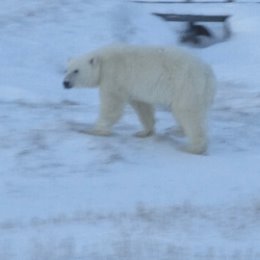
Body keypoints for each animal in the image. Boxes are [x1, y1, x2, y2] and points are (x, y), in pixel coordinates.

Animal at [63, 44, 215, 154]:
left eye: (76, 70)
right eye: (67, 69)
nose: (65, 83)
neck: (104, 61)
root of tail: (208, 73)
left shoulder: (114, 76)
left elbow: (111, 106)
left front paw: (93, 130)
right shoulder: (132, 86)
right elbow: (142, 106)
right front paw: (144, 132)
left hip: (185, 85)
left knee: (188, 113)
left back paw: (193, 148)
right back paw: (178, 130)